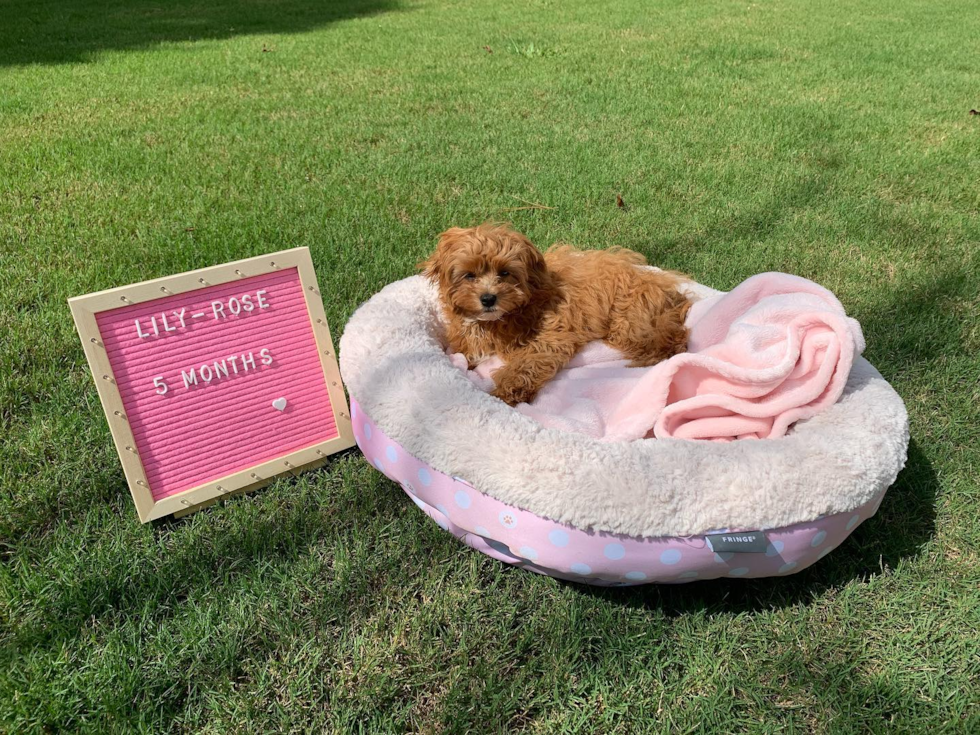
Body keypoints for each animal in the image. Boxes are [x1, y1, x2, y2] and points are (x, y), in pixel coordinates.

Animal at [422, 224, 688, 408]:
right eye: (469, 275)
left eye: (505, 272)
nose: (488, 299)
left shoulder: (552, 334)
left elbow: (528, 362)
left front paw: (504, 393)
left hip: (631, 324)